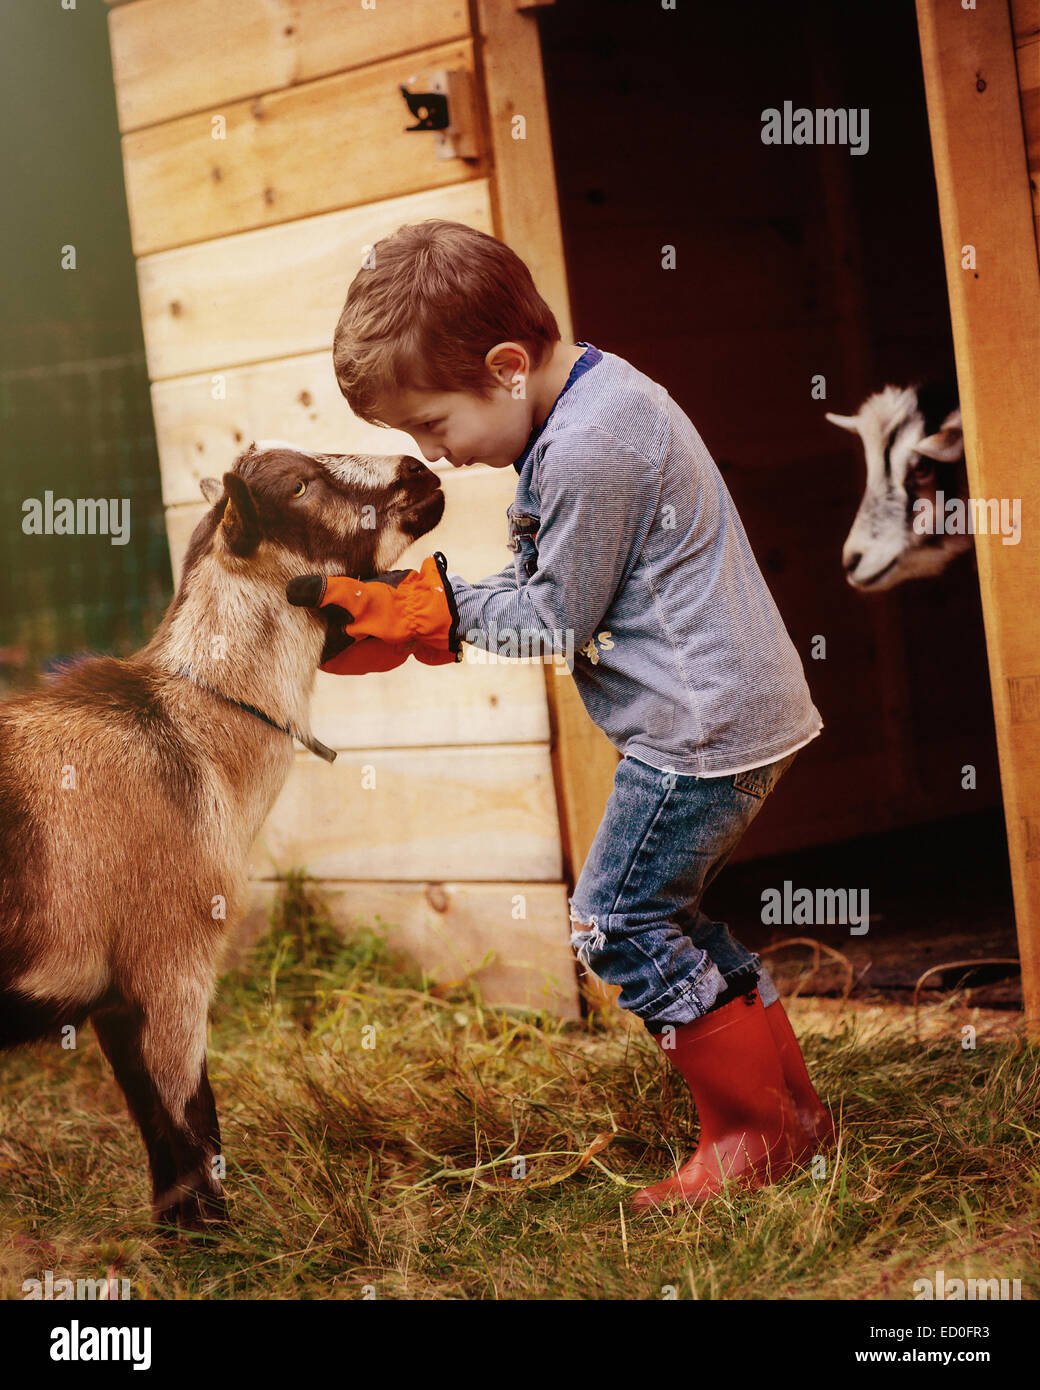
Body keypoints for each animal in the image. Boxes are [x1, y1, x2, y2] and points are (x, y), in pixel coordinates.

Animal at [0, 439, 442, 1234]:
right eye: (299, 486)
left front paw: (179, 1235)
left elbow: (157, 1128)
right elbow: (192, 1120)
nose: (421, 471)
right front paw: (223, 1239)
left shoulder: (115, 997)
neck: (189, 734)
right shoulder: (170, 960)